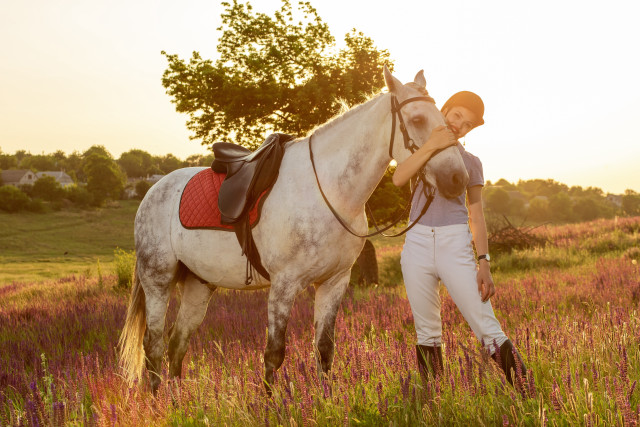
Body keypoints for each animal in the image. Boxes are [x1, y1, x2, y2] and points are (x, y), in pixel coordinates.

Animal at [118, 66, 469, 394]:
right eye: (417, 119)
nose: (457, 178)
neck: (329, 190)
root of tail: (154, 190)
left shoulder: (334, 282)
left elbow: (324, 350)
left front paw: (327, 400)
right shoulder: (283, 286)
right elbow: (274, 354)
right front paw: (273, 405)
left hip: (199, 285)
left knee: (177, 344)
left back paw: (180, 400)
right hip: (158, 280)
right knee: (154, 346)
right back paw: (159, 404)